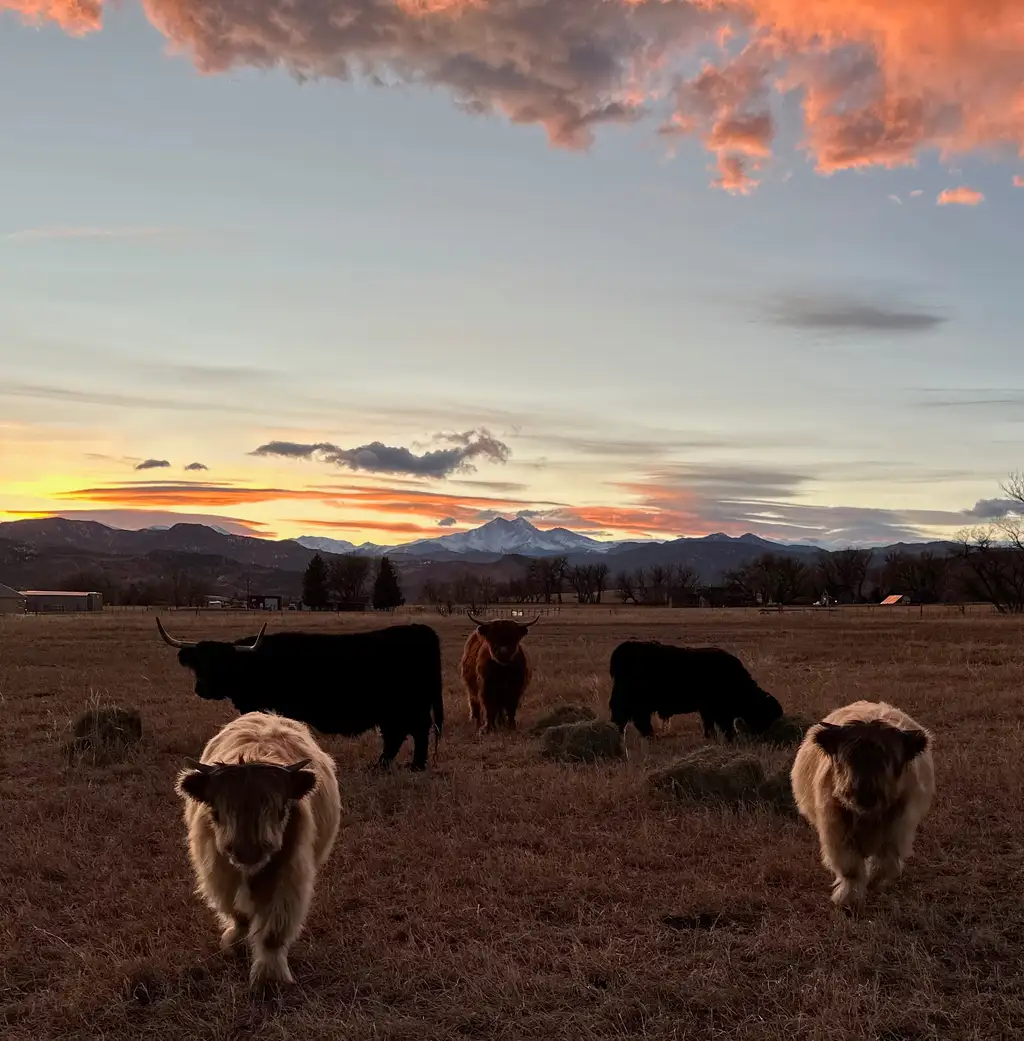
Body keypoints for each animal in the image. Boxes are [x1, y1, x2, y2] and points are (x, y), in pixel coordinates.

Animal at [156, 619, 444, 771]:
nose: (202, 688)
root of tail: (419, 629)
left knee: (416, 731)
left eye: (224, 663)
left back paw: (414, 766)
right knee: (398, 735)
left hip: (409, 707)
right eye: (199, 663)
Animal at [175, 711, 341, 989]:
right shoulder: (219, 872)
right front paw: (235, 943)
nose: (248, 852)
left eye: (281, 810)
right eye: (216, 812)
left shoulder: (290, 874)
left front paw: (269, 976)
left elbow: (274, 930)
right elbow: (238, 912)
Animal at [608, 640, 782, 741]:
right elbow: (723, 726)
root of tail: (625, 648)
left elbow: (710, 725)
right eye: (766, 714)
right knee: (630, 720)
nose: (763, 735)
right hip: (634, 703)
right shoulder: (717, 710)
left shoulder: (708, 710)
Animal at [790, 700, 934, 910]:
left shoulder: (898, 828)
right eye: (847, 757)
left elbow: (886, 862)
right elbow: (851, 868)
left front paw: (875, 882)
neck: (868, 816)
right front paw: (848, 898)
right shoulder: (837, 832)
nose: (864, 794)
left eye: (889, 759)